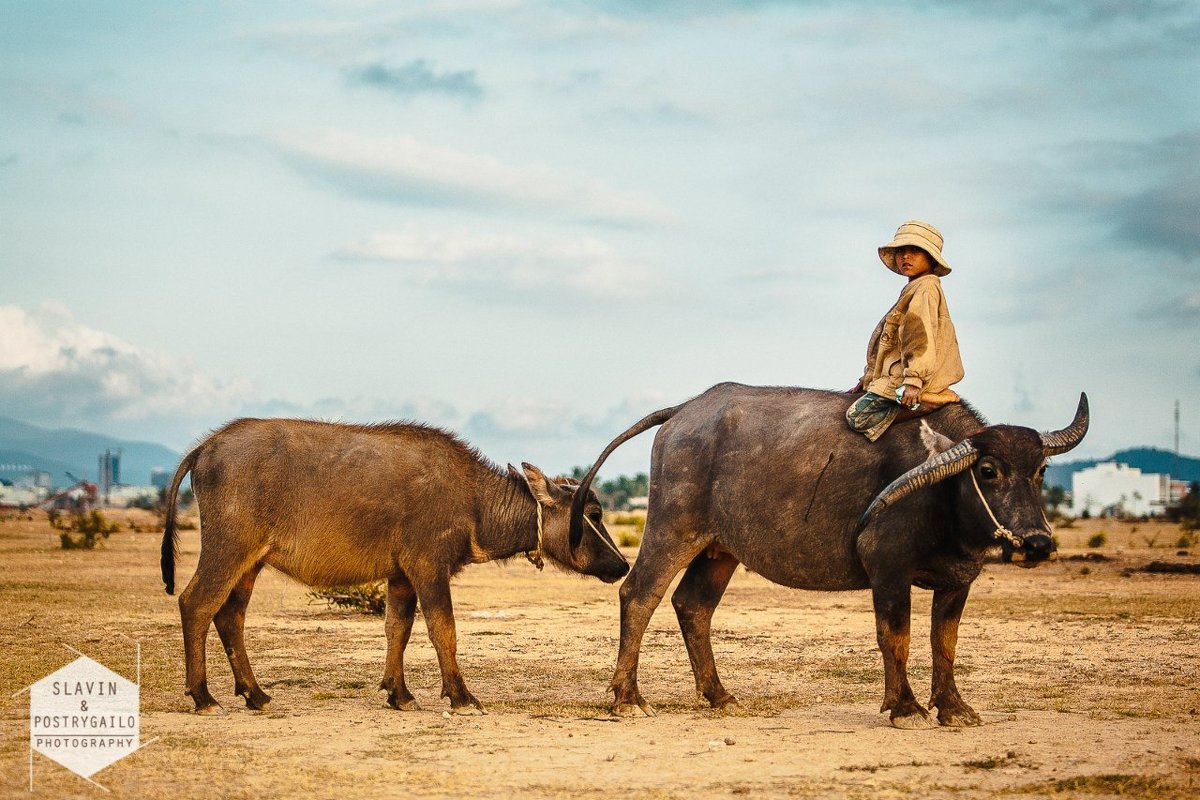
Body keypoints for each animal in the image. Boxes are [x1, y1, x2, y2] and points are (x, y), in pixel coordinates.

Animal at [162, 419, 628, 714]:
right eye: (595, 513)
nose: (623, 565)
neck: (472, 499)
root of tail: (205, 448)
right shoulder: (428, 568)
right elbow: (444, 630)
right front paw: (461, 697)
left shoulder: (401, 576)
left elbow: (397, 630)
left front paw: (399, 694)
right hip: (227, 550)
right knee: (195, 604)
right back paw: (203, 697)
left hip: (250, 563)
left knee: (230, 616)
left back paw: (255, 694)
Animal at [571, 383, 1089, 729]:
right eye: (988, 470)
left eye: (1041, 470)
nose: (1037, 543)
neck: (941, 492)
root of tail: (683, 411)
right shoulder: (887, 569)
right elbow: (896, 636)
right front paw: (905, 707)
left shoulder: (958, 581)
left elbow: (945, 642)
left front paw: (954, 707)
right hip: (672, 528)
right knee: (639, 595)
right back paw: (627, 698)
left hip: (720, 549)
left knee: (693, 605)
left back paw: (720, 695)